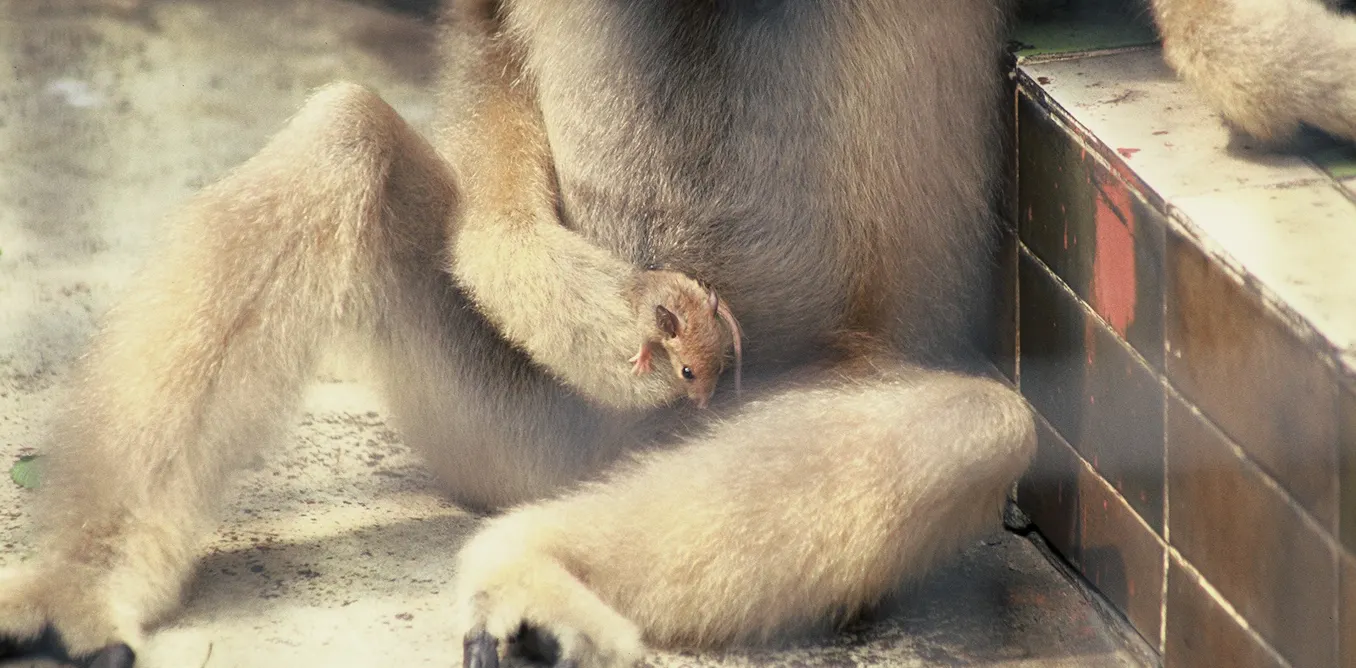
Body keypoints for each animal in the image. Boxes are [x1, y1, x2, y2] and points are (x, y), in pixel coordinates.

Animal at [627, 270, 742, 409]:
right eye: (686, 373)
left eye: (719, 367)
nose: (703, 406)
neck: (688, 312)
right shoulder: (647, 327)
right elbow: (645, 344)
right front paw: (640, 367)